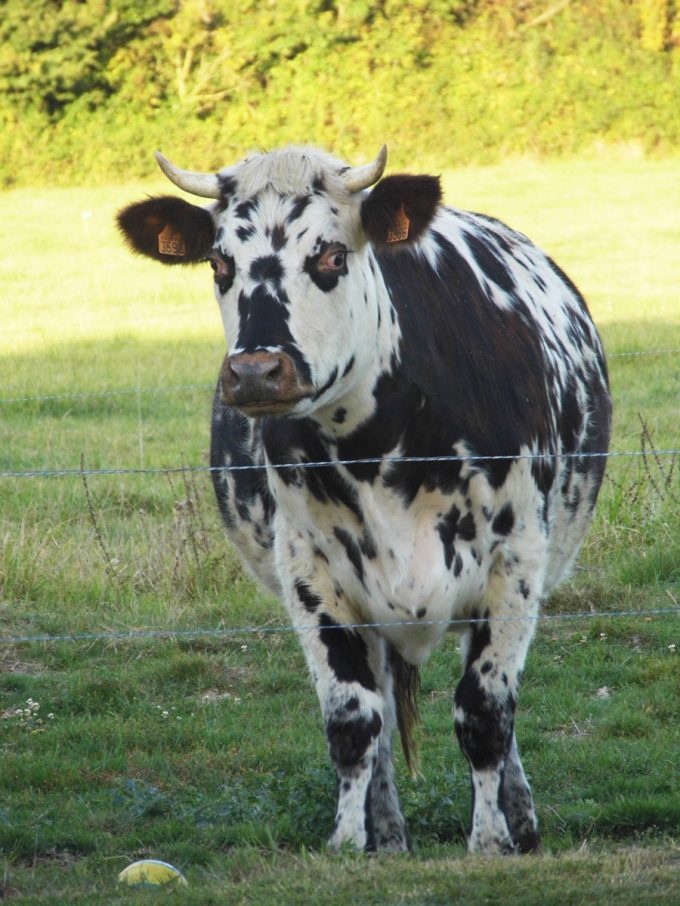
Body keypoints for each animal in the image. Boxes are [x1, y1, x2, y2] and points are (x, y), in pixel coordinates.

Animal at [117, 144, 611, 855]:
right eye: (218, 263)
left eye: (330, 256)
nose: (256, 371)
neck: (375, 446)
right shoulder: (310, 572)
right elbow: (353, 721)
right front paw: (350, 845)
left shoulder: (515, 561)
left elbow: (485, 712)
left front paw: (491, 840)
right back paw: (391, 836)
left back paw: (520, 820)